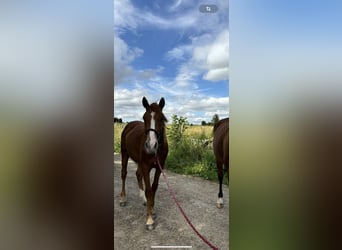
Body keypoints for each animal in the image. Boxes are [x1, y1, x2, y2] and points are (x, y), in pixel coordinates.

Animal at [120, 96, 168, 229]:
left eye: (161, 118)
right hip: (124, 154)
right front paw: (149, 219)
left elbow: (154, 187)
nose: (151, 145)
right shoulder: (146, 166)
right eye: (144, 117)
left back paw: (144, 200)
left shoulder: (159, 167)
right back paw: (123, 199)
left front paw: (152, 208)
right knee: (124, 174)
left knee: (137, 174)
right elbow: (149, 190)